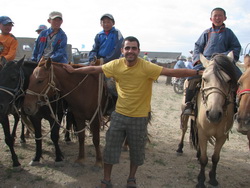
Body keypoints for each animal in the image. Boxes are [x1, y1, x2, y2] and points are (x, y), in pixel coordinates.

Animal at [180, 52, 238, 188]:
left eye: (228, 80)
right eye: (205, 79)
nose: (213, 114)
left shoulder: (222, 136)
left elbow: (215, 158)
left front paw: (212, 178)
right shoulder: (203, 133)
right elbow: (204, 159)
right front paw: (201, 180)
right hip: (185, 116)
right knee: (184, 130)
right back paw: (179, 148)